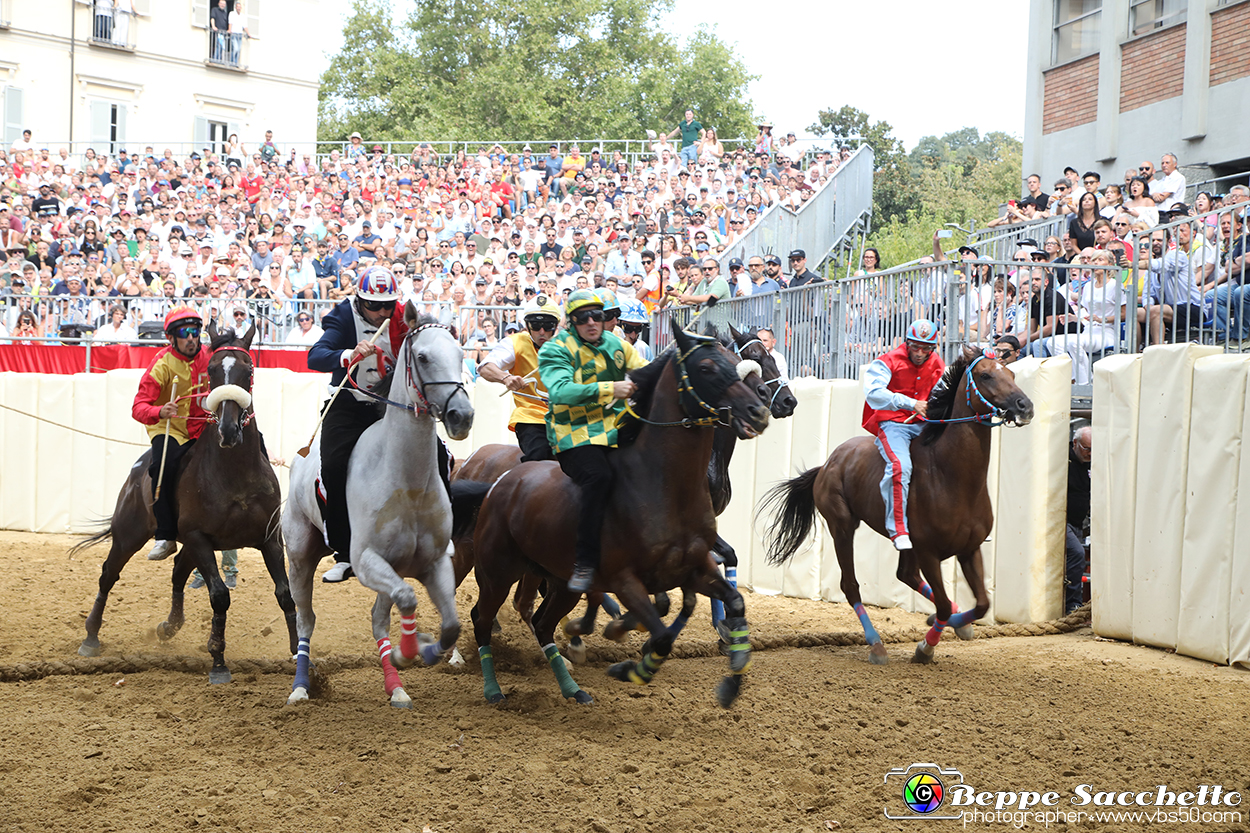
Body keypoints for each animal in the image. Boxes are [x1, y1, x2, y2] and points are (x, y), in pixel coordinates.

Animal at [73, 318, 297, 680]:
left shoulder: (269, 539)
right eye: (213, 371)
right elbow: (219, 596)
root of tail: (136, 473)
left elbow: (285, 594)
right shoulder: (198, 537)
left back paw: (169, 626)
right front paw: (218, 660)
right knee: (109, 574)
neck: (234, 475)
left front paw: (297, 652)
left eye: (248, 369)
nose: (229, 430)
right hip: (129, 534)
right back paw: (91, 637)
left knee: (178, 571)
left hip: (187, 545)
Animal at [285, 306, 477, 705]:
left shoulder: (433, 562)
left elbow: (450, 624)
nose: (462, 416)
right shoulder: (366, 560)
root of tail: (299, 459)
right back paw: (300, 687)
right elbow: (407, 597)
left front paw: (423, 650)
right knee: (305, 620)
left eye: (461, 355)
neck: (408, 483)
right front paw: (410, 650)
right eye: (423, 357)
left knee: (378, 618)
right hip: (299, 558)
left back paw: (396, 687)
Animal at [467, 320, 765, 705]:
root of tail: (502, 481)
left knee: (542, 622)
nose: (761, 408)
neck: (662, 484)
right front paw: (630, 662)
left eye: (737, 363)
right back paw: (494, 688)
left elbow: (732, 599)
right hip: (497, 571)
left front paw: (732, 670)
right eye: (706, 368)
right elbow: (661, 632)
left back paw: (572, 687)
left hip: (558, 579)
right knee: (483, 616)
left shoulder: (694, 566)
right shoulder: (625, 579)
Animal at [760, 342, 1035, 660]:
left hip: (904, 543)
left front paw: (958, 625)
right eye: (985, 375)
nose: (1025, 406)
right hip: (842, 525)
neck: (952, 476)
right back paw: (876, 643)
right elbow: (943, 605)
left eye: (1012, 374)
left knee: (906, 575)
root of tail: (828, 463)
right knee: (851, 585)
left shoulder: (969, 548)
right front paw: (925, 647)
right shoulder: (929, 552)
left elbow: (981, 605)